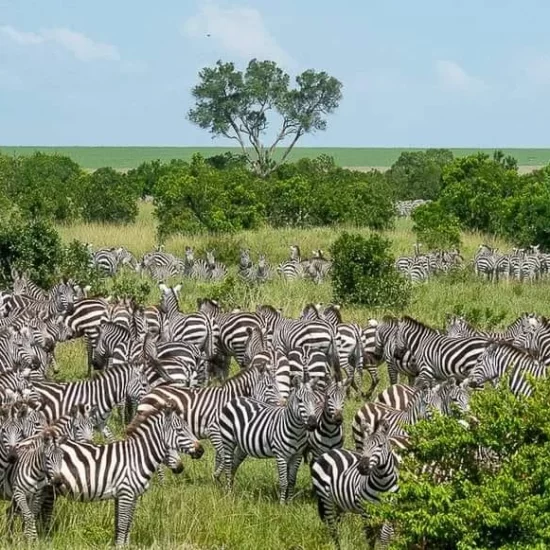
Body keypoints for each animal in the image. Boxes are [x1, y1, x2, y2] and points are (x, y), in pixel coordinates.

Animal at [47, 404, 205, 548]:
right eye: (180, 430)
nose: (201, 450)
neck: (137, 457)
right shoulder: (126, 493)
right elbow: (123, 524)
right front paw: (120, 546)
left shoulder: (130, 495)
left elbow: (126, 523)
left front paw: (125, 545)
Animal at [312, 420, 398, 548]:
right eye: (364, 446)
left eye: (380, 445)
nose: (362, 467)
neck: (383, 483)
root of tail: (329, 452)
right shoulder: (366, 511)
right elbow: (370, 537)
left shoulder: (390, 509)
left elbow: (386, 535)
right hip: (326, 499)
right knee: (333, 529)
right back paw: (338, 546)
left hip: (339, 504)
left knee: (338, 524)